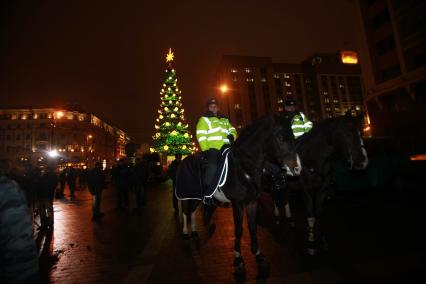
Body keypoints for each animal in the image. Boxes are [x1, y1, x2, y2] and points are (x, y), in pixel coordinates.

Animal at [176, 114, 300, 276]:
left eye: (293, 136)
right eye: (280, 137)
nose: (297, 168)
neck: (244, 169)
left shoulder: (252, 202)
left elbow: (252, 227)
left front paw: (258, 256)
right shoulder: (238, 204)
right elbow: (239, 229)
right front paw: (238, 259)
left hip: (196, 198)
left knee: (191, 212)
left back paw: (195, 232)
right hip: (187, 195)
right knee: (186, 212)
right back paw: (185, 233)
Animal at [272, 114, 370, 256]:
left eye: (361, 132)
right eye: (347, 133)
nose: (362, 161)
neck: (314, 160)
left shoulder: (322, 190)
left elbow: (319, 213)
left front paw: (323, 240)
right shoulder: (306, 191)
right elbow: (311, 216)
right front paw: (311, 243)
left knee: (285, 200)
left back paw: (290, 219)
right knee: (275, 198)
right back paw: (277, 217)